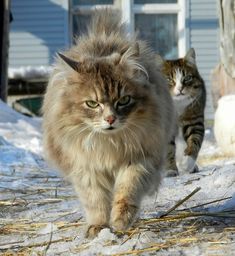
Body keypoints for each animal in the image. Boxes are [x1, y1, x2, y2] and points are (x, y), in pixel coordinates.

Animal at [41, 8, 174, 237]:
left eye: (124, 100)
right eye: (92, 103)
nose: (110, 118)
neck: (109, 144)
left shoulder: (139, 160)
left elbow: (127, 192)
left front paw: (121, 221)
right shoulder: (87, 169)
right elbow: (96, 202)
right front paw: (99, 227)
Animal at [158, 48, 206, 176]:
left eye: (187, 78)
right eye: (169, 79)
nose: (180, 88)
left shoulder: (194, 120)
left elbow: (194, 141)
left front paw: (188, 163)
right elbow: (169, 149)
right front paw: (170, 169)